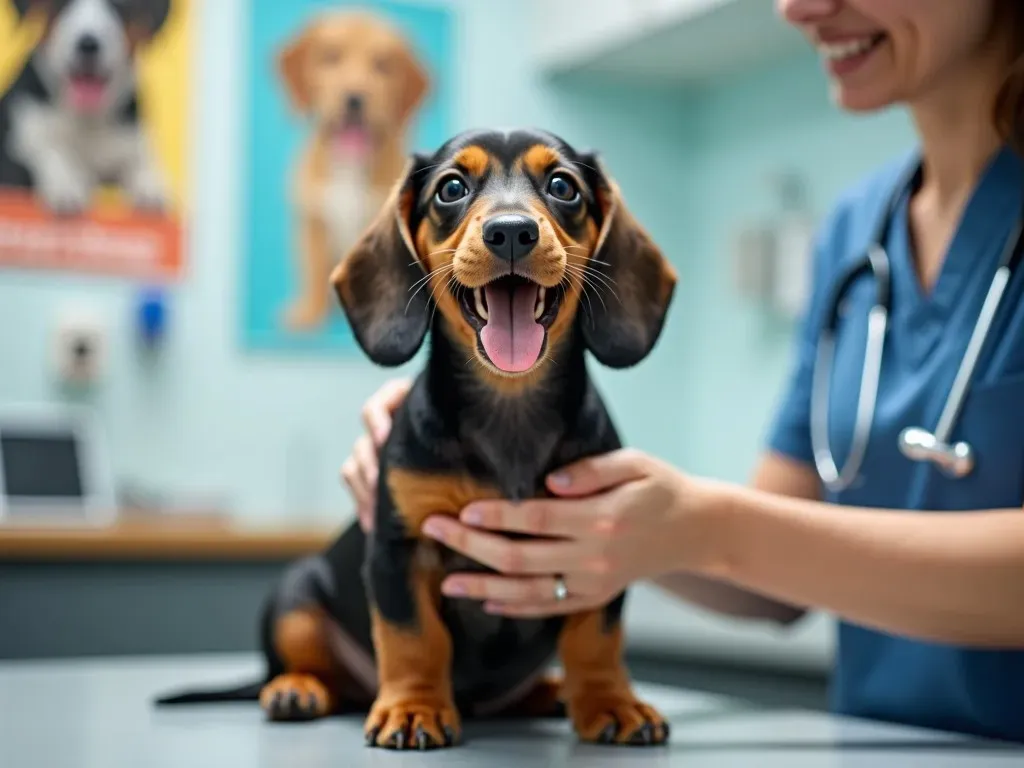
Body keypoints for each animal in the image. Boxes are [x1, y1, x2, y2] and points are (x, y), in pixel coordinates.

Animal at [153, 128, 679, 753]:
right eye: (451, 187)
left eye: (562, 186)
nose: (510, 231)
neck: (510, 409)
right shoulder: (398, 550)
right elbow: (413, 639)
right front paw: (413, 708)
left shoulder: (595, 549)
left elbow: (596, 639)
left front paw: (609, 701)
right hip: (296, 595)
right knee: (322, 671)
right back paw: (296, 688)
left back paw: (551, 692)